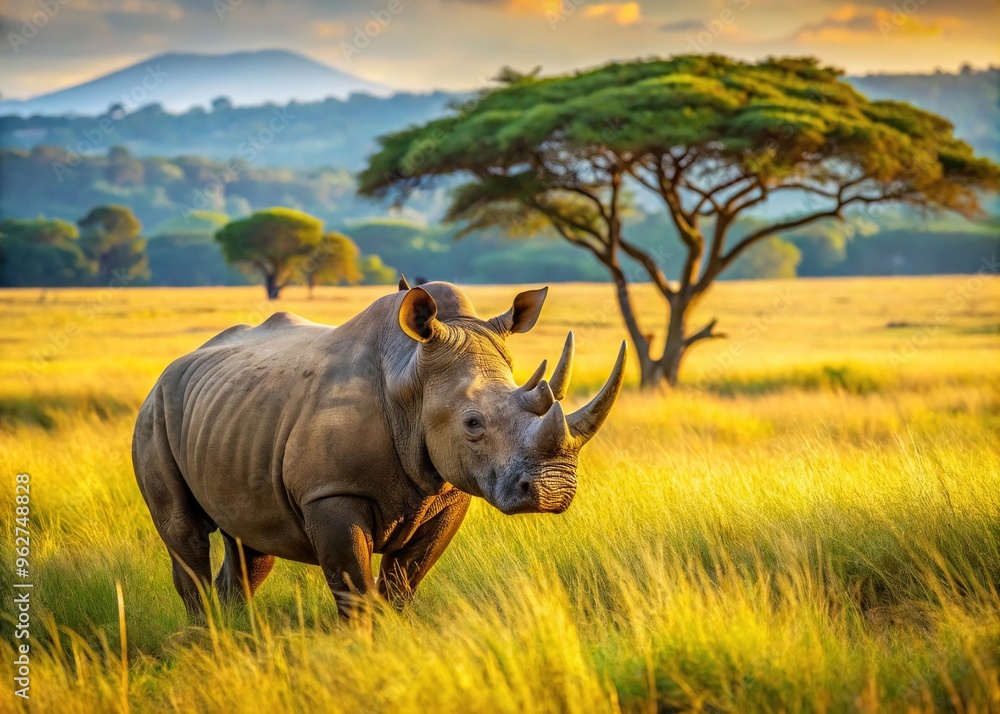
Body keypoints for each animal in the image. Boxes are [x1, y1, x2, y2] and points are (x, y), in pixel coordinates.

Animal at [132, 280, 625, 626]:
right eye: (472, 424)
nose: (554, 491)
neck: (410, 377)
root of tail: (173, 367)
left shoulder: (449, 495)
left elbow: (400, 588)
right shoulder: (331, 492)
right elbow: (356, 594)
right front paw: (363, 657)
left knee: (250, 545)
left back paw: (237, 640)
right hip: (155, 411)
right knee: (186, 535)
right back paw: (209, 641)